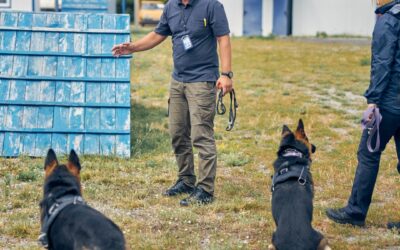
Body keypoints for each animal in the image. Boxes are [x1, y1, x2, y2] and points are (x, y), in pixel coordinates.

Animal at [268, 120, 332, 249]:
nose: (315, 147)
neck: (292, 154)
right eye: (307, 138)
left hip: (272, 241)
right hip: (322, 237)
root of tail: (296, 246)